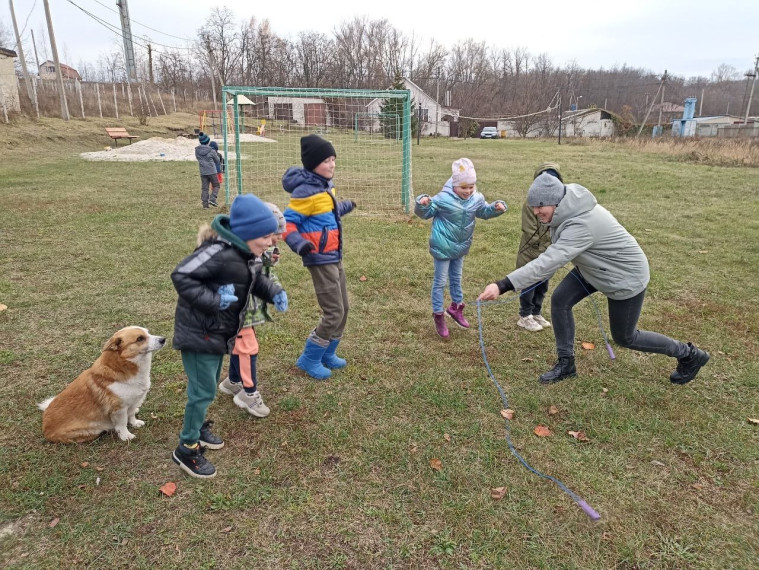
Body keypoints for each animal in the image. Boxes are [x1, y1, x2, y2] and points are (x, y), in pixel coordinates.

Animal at [37, 326, 166, 442]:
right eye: (140, 338)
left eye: (148, 332)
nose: (163, 339)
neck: (122, 366)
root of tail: (45, 429)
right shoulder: (118, 409)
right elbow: (122, 424)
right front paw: (126, 436)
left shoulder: (134, 401)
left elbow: (131, 415)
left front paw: (135, 423)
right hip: (91, 431)